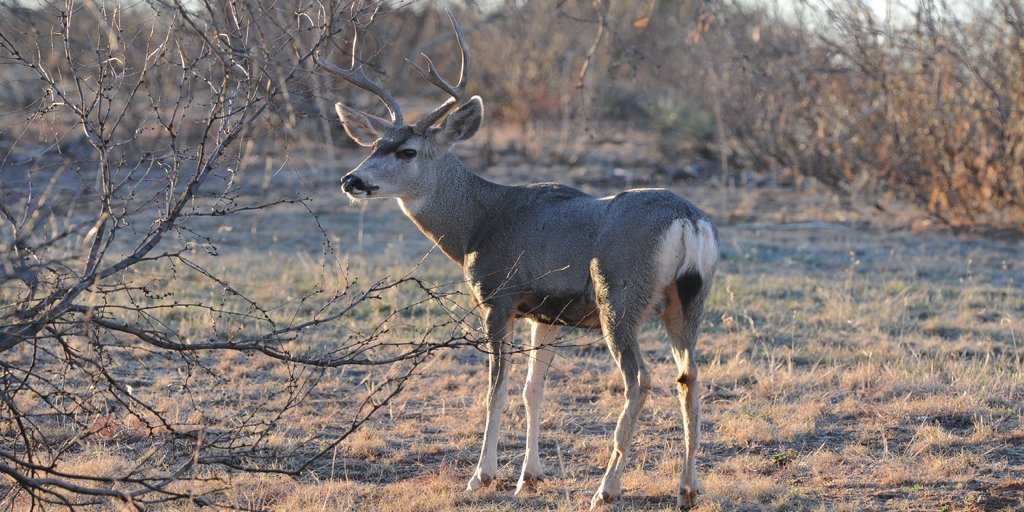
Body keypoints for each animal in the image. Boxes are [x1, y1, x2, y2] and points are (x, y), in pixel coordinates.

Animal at [317, 13, 719, 510]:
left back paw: (605, 489)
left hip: (619, 297)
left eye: (407, 151)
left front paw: (483, 476)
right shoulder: (545, 313)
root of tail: (688, 220)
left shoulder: (498, 296)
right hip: (689, 301)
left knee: (640, 379)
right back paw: (687, 488)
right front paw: (530, 477)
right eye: (373, 146)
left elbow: (497, 388)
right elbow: (533, 390)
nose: (351, 180)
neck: (477, 223)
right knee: (690, 376)